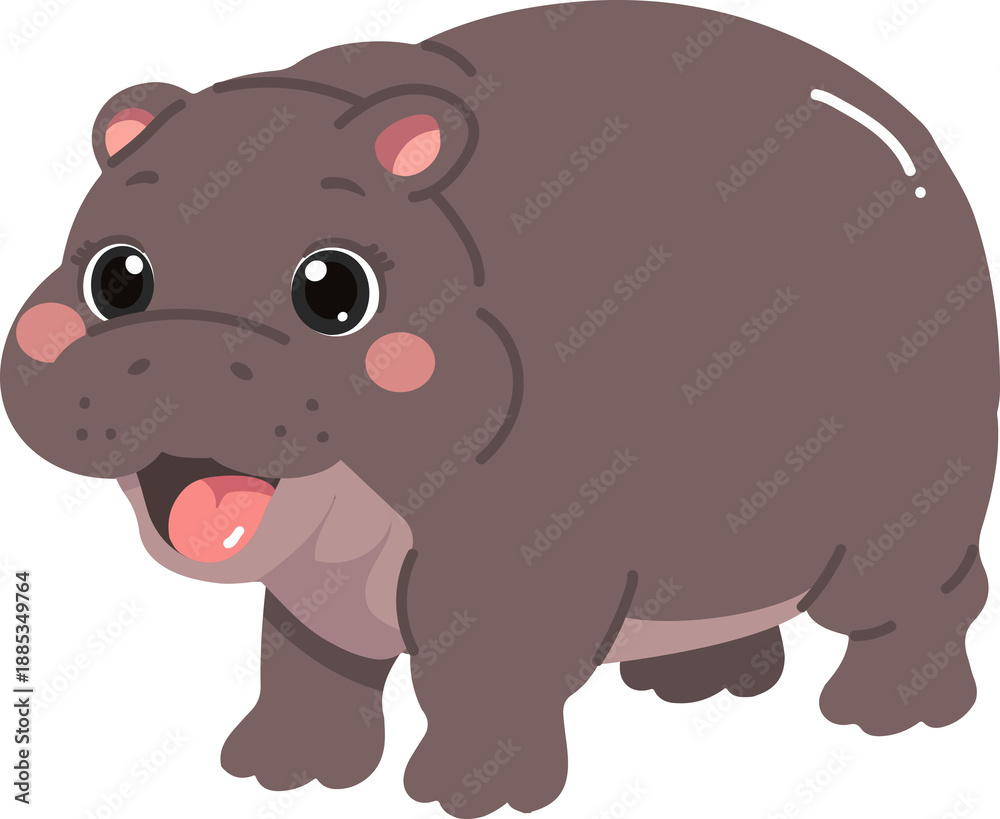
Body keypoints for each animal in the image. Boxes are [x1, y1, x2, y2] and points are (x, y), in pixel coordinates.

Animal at [2, 1, 996, 815]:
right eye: (115, 275)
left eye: (334, 287)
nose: (171, 359)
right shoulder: (313, 587)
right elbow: (305, 664)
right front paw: (284, 774)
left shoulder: (515, 566)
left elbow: (480, 680)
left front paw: (471, 796)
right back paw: (695, 685)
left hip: (904, 523)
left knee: (929, 602)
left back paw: (887, 717)